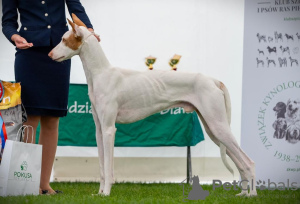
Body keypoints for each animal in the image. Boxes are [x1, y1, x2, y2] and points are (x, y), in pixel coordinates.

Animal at [48, 13, 256, 196]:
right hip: (213, 130)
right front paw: (99, 193)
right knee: (240, 163)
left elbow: (108, 167)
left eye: (64, 40)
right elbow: (101, 166)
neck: (100, 74)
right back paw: (243, 194)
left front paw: (106, 193)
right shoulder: (99, 130)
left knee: (248, 162)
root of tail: (213, 80)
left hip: (218, 125)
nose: (49, 54)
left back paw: (252, 195)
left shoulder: (109, 129)